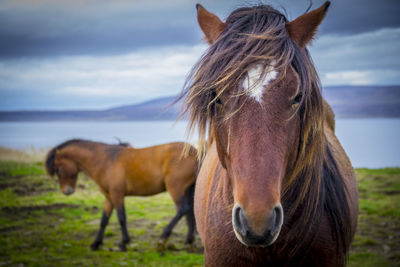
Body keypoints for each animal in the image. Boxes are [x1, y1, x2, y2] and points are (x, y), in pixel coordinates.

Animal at [44, 139, 198, 252]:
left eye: (58, 169)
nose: (67, 191)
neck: (104, 161)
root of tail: (194, 151)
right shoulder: (109, 197)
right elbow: (104, 220)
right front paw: (96, 243)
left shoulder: (117, 194)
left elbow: (121, 217)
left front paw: (124, 243)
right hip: (187, 189)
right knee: (190, 212)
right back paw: (188, 241)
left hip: (175, 188)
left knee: (183, 209)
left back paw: (164, 235)